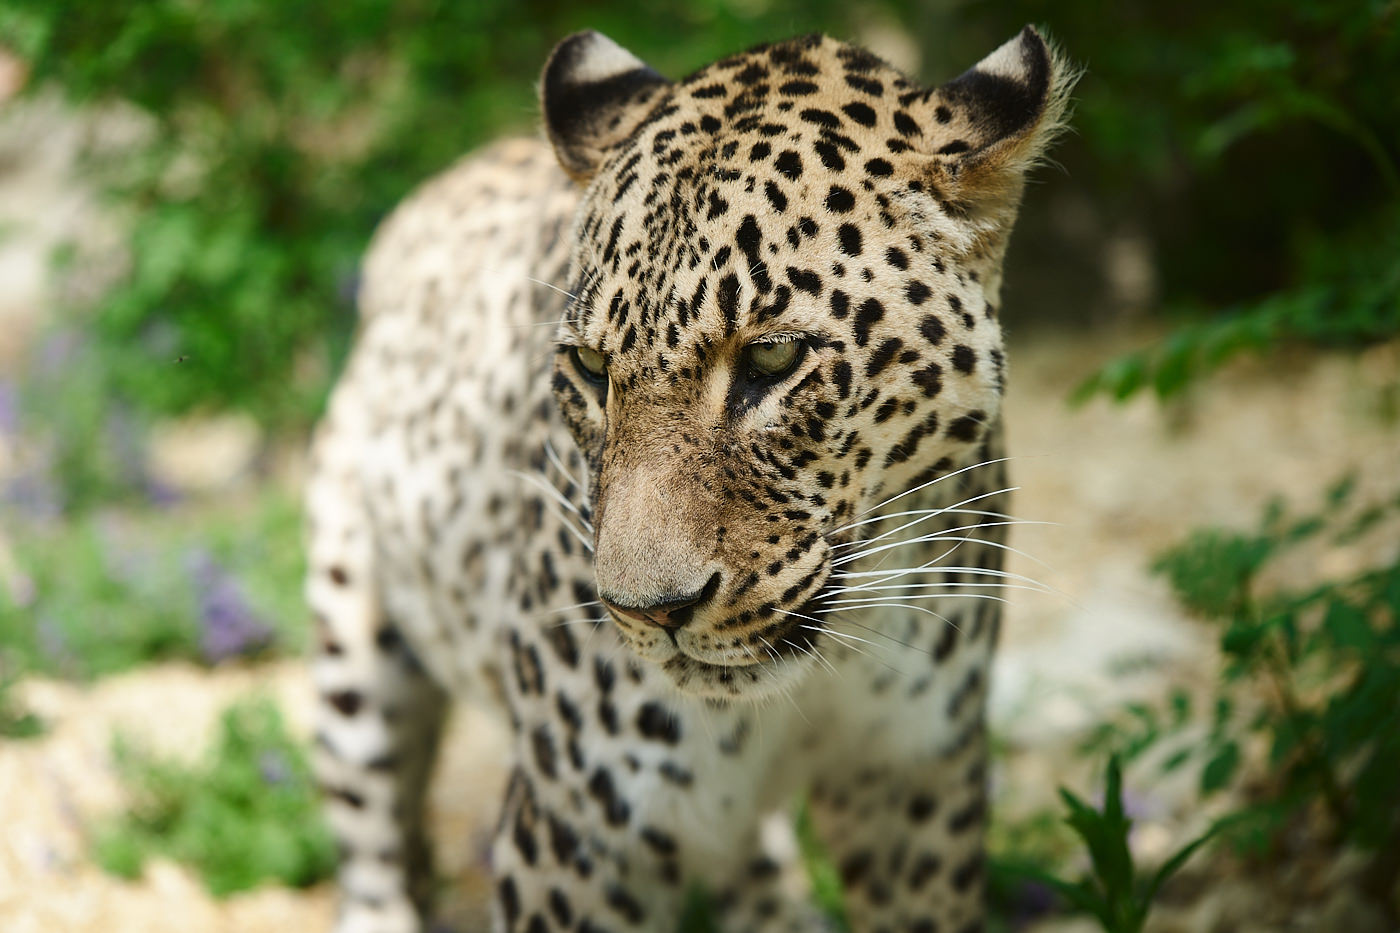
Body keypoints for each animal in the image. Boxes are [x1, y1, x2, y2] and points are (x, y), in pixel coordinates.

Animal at [306, 25, 1069, 930]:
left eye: (773, 357)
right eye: (592, 368)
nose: (651, 611)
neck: (818, 676)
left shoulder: (916, 785)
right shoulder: (573, 839)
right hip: (352, 633)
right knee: (370, 835)